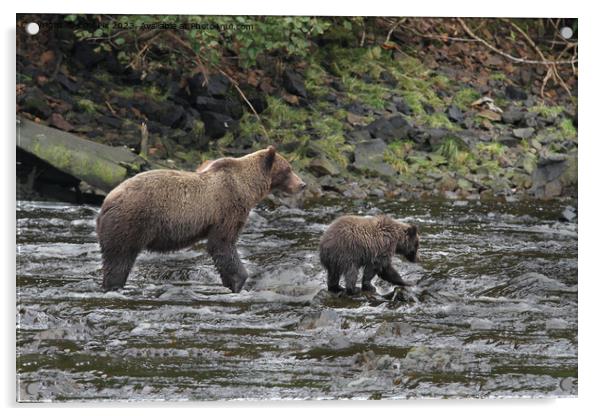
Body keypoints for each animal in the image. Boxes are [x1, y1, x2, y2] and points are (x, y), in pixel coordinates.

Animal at [99, 146, 308, 292]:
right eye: (288, 169)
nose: (303, 184)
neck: (247, 188)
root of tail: (107, 200)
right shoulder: (228, 207)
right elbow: (222, 244)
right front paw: (238, 280)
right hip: (132, 221)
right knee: (119, 259)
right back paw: (114, 285)